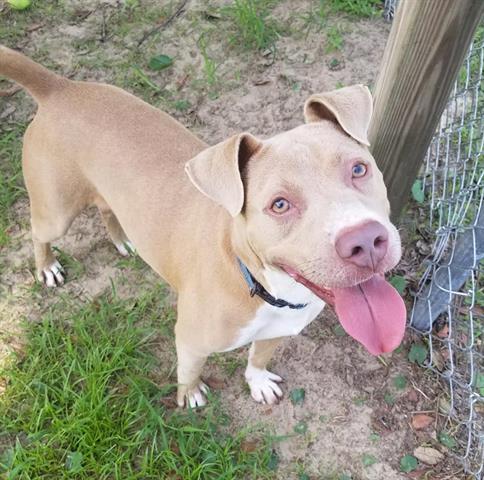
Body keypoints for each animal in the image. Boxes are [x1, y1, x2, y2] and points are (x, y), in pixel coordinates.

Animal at [1, 47, 406, 408]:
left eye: (358, 169)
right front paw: (191, 394)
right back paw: (47, 267)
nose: (365, 241)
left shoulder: (276, 332)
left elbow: (258, 358)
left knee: (106, 209)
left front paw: (257, 381)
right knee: (39, 234)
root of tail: (60, 87)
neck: (260, 284)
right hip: (56, 211)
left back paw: (122, 240)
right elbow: (189, 370)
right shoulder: (190, 340)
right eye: (279, 204)